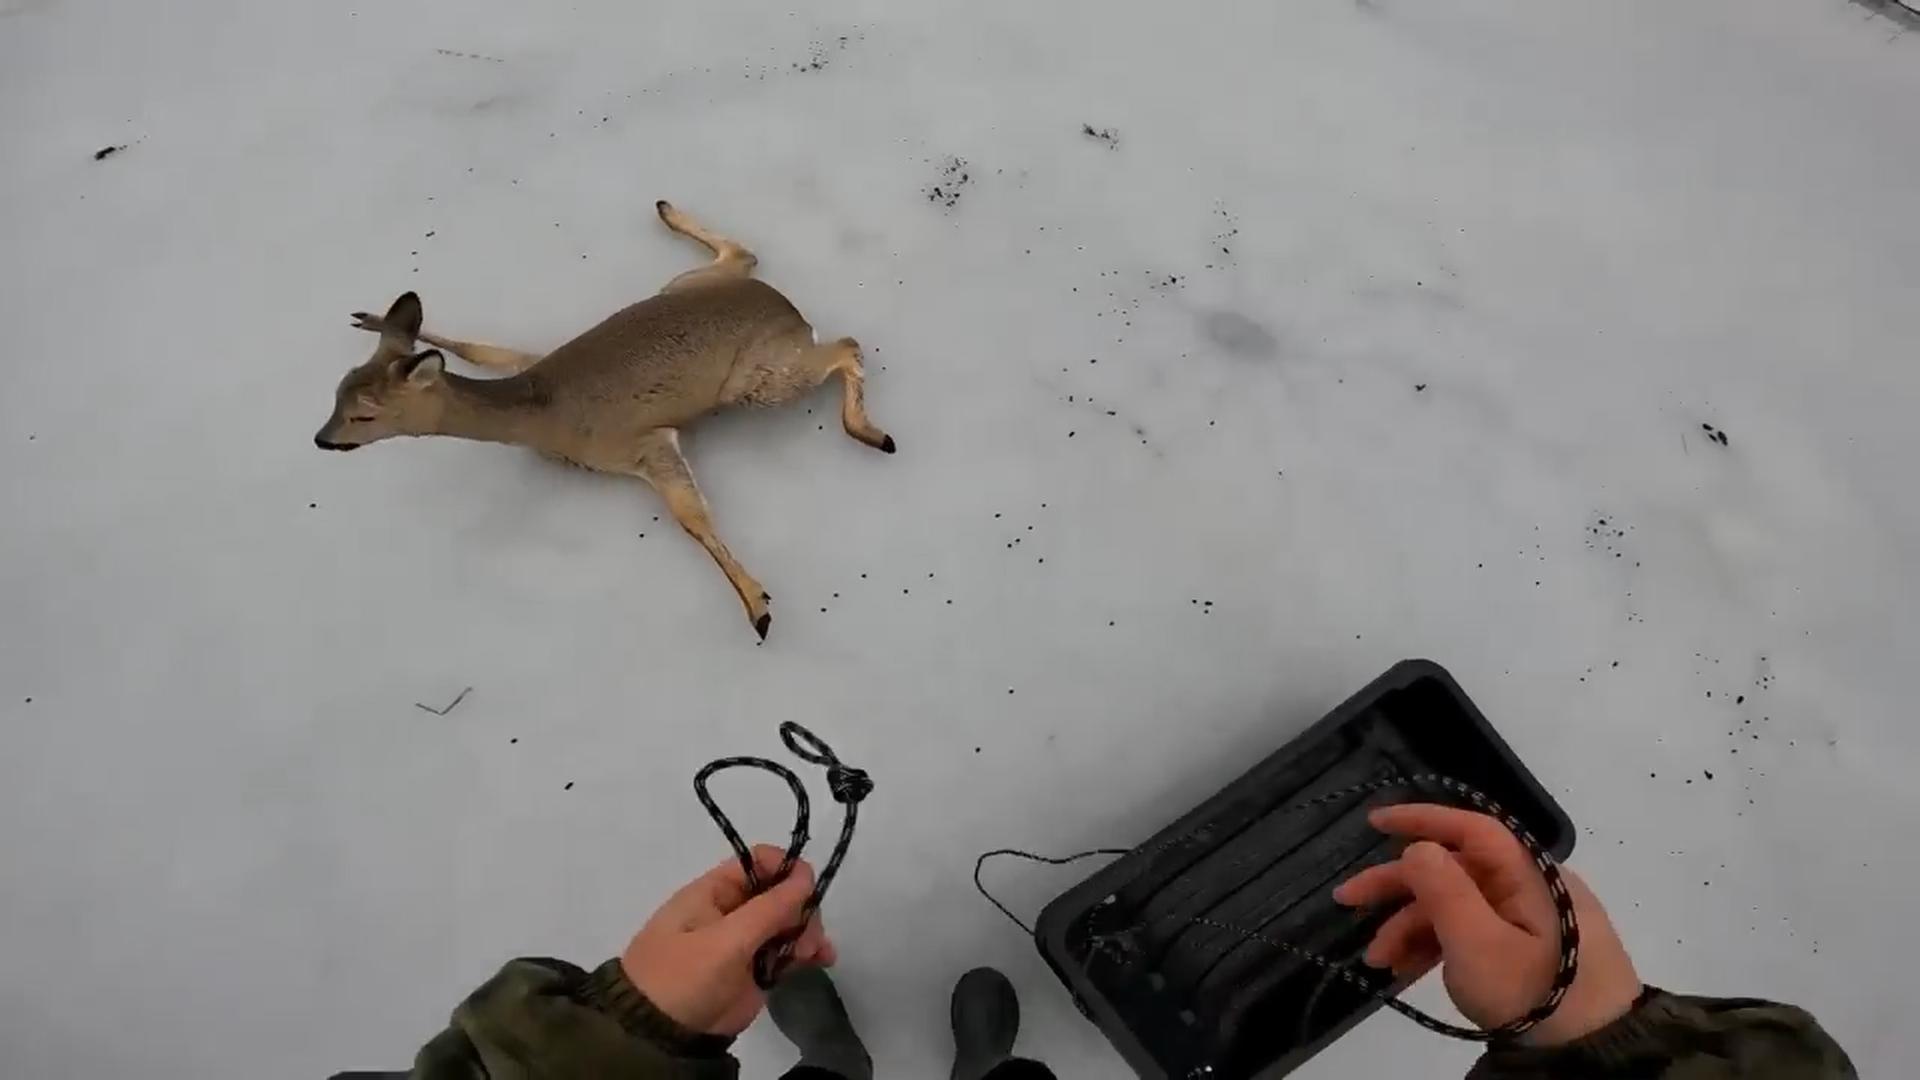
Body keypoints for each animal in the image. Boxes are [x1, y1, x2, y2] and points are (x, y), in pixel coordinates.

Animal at [314, 200, 896, 641]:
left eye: (364, 414)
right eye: (338, 393)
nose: (322, 439)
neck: (542, 408)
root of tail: (788, 309)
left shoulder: (646, 443)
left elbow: (692, 517)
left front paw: (759, 607)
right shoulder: (527, 362)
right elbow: (484, 348)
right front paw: (366, 316)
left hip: (761, 380)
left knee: (846, 344)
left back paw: (872, 433)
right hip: (685, 289)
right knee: (747, 256)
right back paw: (667, 209)